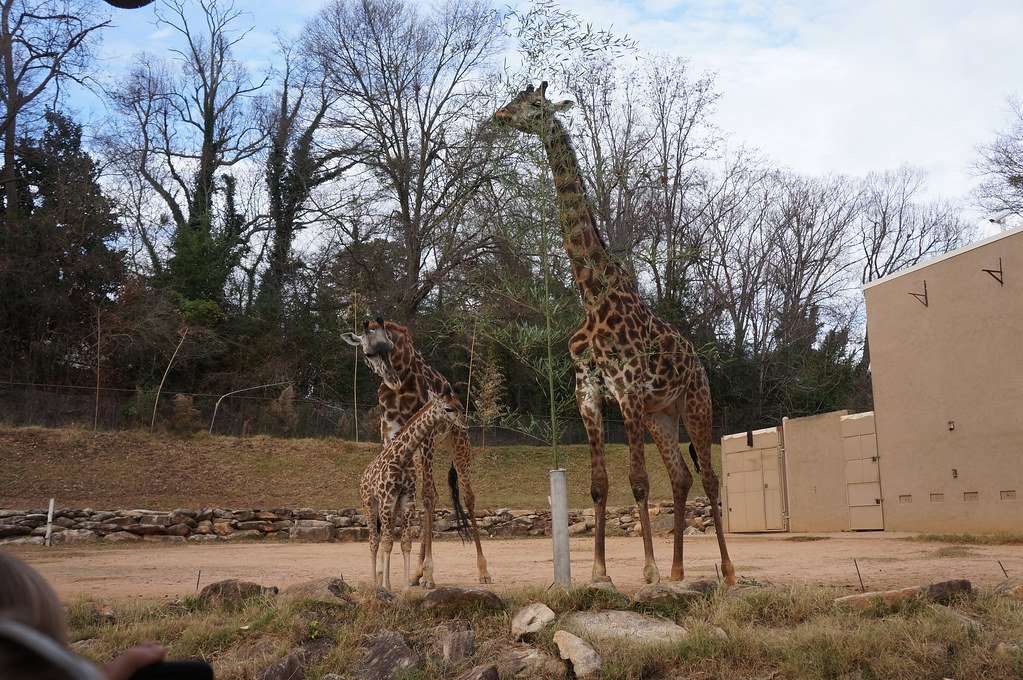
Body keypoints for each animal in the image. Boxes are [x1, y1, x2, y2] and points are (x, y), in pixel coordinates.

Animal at [360, 387, 464, 591]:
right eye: (448, 408)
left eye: (460, 405)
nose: (464, 424)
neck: (403, 457)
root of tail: (362, 478)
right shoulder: (387, 499)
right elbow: (386, 543)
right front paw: (385, 587)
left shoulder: (407, 499)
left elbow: (405, 543)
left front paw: (406, 587)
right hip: (370, 504)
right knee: (373, 541)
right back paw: (376, 584)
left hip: (391, 509)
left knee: (383, 538)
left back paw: (386, 582)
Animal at [493, 82, 735, 586]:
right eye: (514, 98)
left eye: (535, 104)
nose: (500, 116)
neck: (592, 294)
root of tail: (699, 364)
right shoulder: (588, 392)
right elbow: (599, 485)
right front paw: (600, 572)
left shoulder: (626, 392)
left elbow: (638, 483)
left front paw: (648, 571)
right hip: (661, 415)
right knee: (681, 477)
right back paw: (680, 571)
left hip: (696, 405)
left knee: (708, 478)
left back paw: (726, 571)